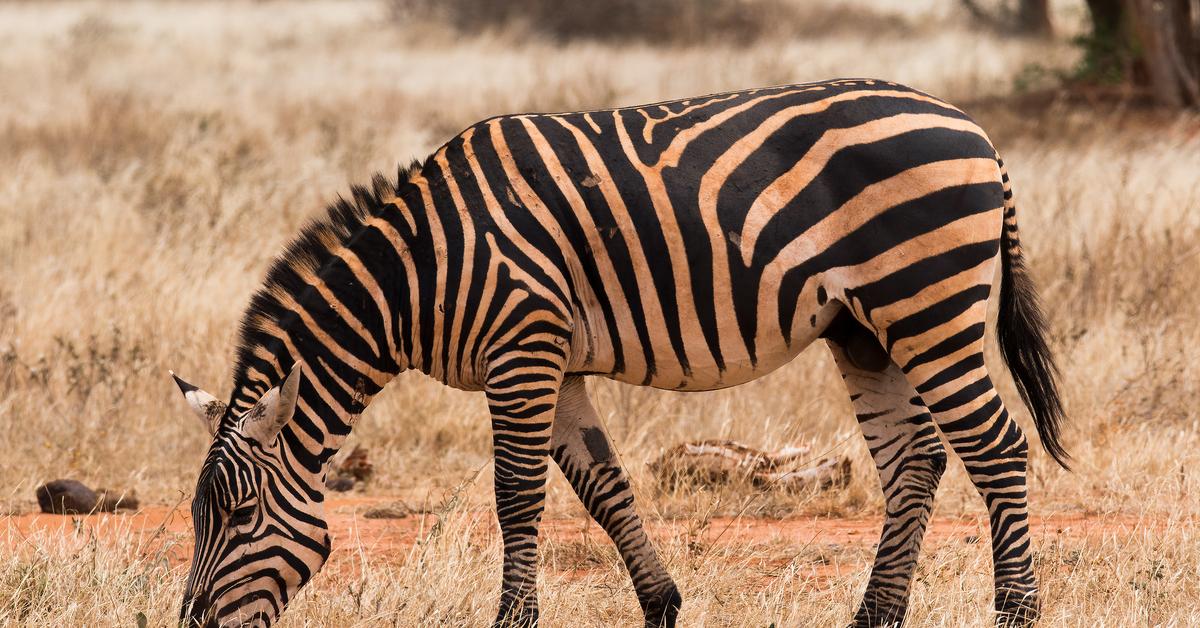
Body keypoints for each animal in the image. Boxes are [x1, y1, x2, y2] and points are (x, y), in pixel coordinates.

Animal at [174, 79, 1065, 628]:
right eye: (198, 516)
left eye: (241, 515)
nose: (192, 621)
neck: (421, 272)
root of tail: (973, 129)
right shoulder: (555, 362)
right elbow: (603, 487)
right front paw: (662, 603)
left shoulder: (521, 348)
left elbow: (517, 497)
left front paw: (513, 620)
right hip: (864, 327)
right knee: (915, 459)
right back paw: (875, 616)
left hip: (925, 299)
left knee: (997, 446)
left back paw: (1017, 612)